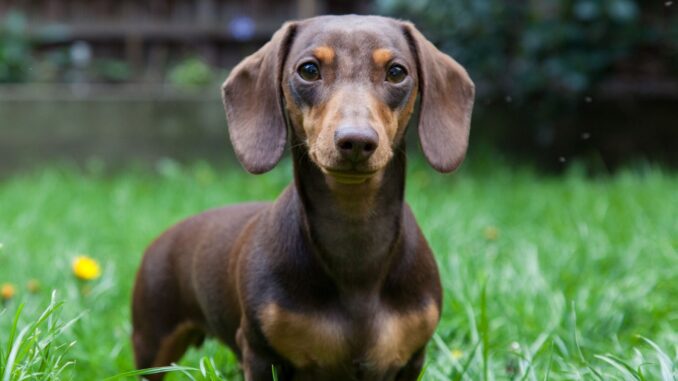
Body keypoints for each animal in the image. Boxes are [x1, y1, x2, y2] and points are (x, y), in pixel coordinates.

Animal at [131, 13, 472, 378]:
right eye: (308, 69)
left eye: (396, 72)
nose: (356, 140)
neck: (356, 251)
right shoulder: (261, 354)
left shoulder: (412, 360)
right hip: (151, 343)